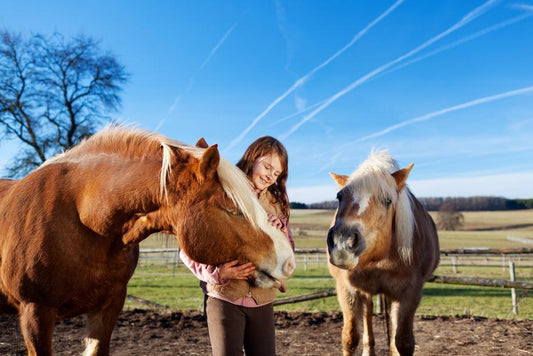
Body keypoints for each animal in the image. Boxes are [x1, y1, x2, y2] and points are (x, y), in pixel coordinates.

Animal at [326, 151, 438, 356]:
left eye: (388, 201)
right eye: (339, 197)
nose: (342, 243)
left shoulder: (410, 293)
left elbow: (403, 342)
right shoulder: (346, 289)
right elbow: (350, 339)